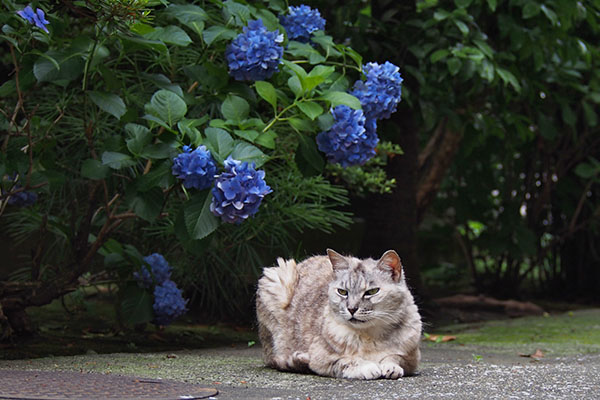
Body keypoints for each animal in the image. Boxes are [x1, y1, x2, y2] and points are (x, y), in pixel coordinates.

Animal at [254, 248, 422, 380]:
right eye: (342, 292)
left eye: (372, 292)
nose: (352, 308)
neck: (369, 335)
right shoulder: (322, 357)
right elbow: (345, 360)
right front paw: (367, 367)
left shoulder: (412, 358)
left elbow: (395, 357)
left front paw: (390, 366)